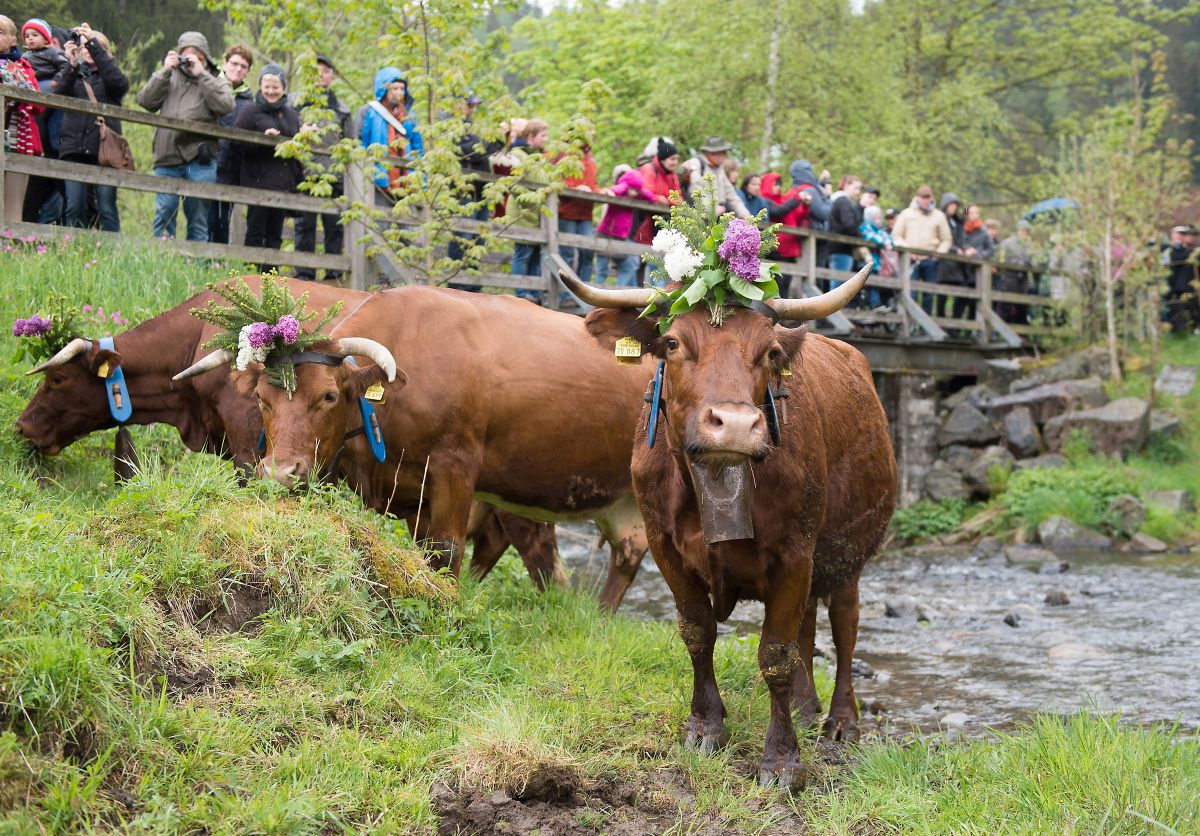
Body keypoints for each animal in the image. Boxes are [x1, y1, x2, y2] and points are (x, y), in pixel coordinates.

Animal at [174, 285, 655, 610]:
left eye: (328, 396)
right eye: (260, 398)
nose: (279, 474)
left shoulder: (455, 466)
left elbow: (447, 548)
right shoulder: (406, 488)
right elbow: (423, 553)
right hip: (622, 505)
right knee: (625, 554)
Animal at [559, 267, 896, 789]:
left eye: (770, 352)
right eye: (672, 342)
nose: (735, 424)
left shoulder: (795, 552)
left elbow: (775, 655)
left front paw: (782, 761)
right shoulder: (664, 547)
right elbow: (699, 633)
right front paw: (705, 727)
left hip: (848, 553)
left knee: (844, 627)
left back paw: (842, 721)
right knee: (808, 629)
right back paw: (805, 708)